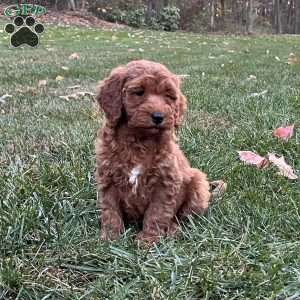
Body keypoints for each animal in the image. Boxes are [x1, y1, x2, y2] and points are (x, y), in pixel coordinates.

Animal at [95, 59, 210, 244]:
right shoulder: (108, 179)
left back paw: (172, 229)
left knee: (182, 217)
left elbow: (157, 212)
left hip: (198, 184)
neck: (139, 139)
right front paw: (110, 237)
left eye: (168, 96)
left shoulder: (165, 182)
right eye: (139, 92)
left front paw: (148, 240)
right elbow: (110, 210)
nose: (158, 116)